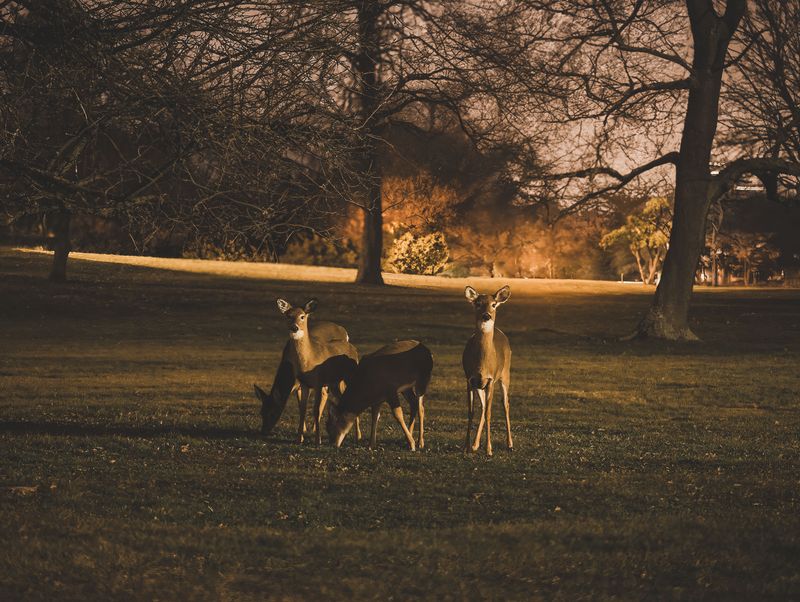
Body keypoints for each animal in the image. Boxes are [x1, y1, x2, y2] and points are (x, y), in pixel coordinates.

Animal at [254, 298, 360, 444]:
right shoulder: (304, 384)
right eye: (288, 316)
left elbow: (315, 409)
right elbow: (302, 409)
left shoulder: (318, 382)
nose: (263, 432)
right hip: (335, 382)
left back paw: (358, 436)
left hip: (348, 377)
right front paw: (300, 438)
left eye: (302, 316)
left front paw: (317, 440)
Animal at [462, 285, 512, 456]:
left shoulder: (490, 379)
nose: (486, 316)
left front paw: (489, 449)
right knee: (483, 407)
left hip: (505, 375)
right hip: (480, 386)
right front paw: (466, 447)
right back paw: (475, 445)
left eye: (494, 304)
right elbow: (471, 412)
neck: (482, 364)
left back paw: (510, 444)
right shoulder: (470, 379)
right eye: (477, 303)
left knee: (505, 404)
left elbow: (490, 413)